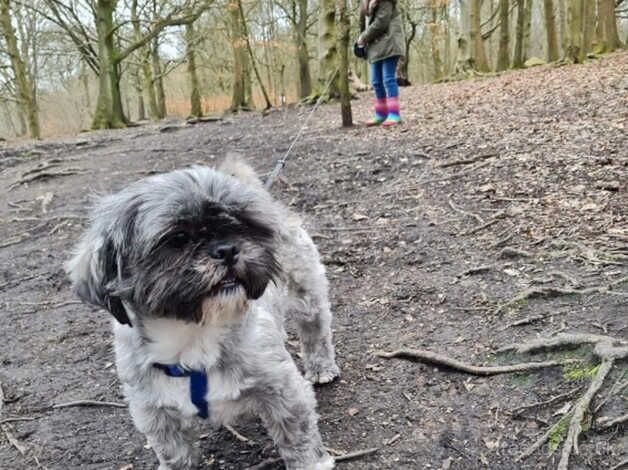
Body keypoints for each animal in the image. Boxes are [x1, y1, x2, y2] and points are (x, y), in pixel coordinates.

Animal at [67, 158, 340, 470]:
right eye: (177, 238)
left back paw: (321, 367)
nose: (227, 249)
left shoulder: (285, 392)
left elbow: (299, 440)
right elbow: (174, 455)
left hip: (306, 296)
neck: (194, 335)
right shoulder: (157, 416)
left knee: (315, 330)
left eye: (242, 225)